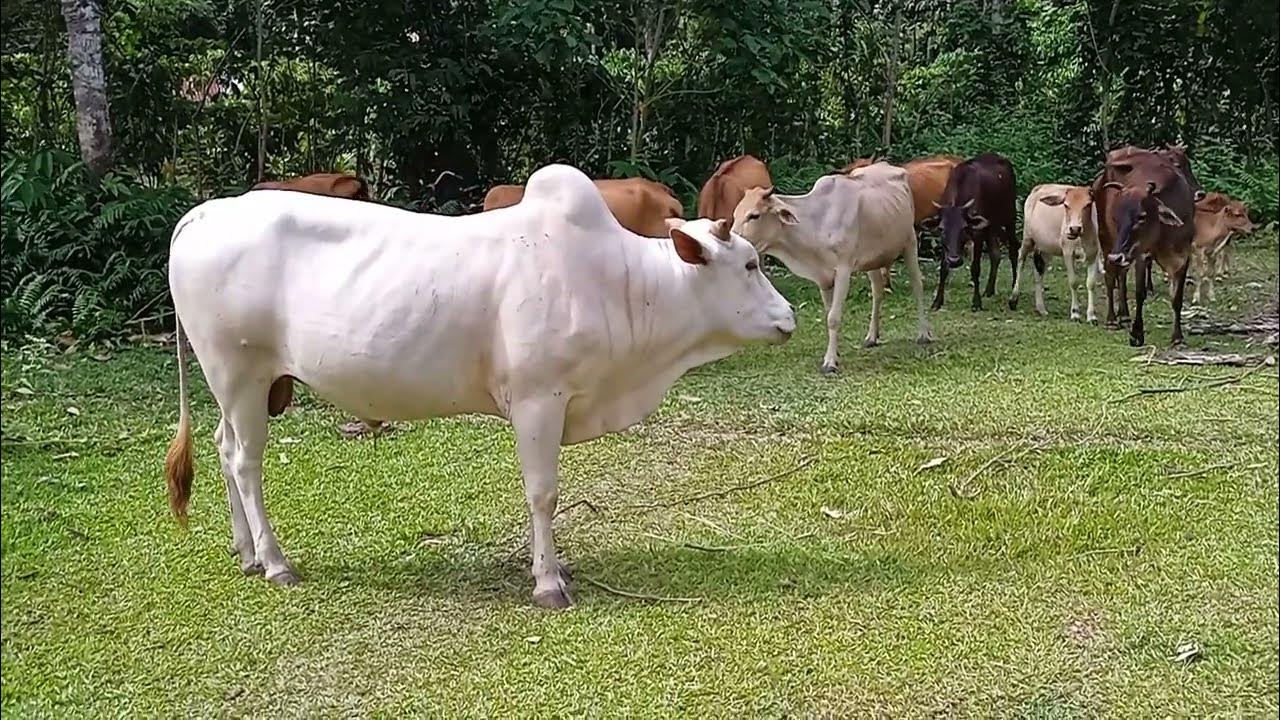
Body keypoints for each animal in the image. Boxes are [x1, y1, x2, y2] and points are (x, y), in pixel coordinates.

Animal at [730, 162, 933, 375]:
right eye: (735, 214)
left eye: (754, 215)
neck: (816, 222)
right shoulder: (823, 278)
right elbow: (829, 314)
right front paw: (835, 353)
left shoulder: (843, 270)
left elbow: (834, 318)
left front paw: (829, 363)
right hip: (873, 260)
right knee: (878, 293)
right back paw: (871, 336)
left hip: (910, 242)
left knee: (917, 286)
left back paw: (923, 333)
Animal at [930, 154, 1018, 311]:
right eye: (941, 229)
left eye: (964, 228)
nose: (955, 260)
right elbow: (943, 268)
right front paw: (937, 301)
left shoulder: (977, 235)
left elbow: (975, 268)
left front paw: (976, 302)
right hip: (991, 226)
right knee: (996, 254)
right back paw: (989, 290)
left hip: (1009, 218)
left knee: (1013, 251)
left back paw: (1014, 290)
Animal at [1009, 184, 1102, 322]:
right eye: (1066, 205)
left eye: (1088, 204)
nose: (1074, 228)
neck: (1082, 238)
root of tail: (1039, 187)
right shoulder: (1068, 252)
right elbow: (1073, 282)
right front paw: (1075, 313)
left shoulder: (1094, 254)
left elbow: (1091, 283)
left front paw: (1091, 316)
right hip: (1028, 237)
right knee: (1021, 259)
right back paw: (1013, 299)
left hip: (1045, 248)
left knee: (1039, 271)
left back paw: (1041, 308)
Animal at [1092, 144, 1206, 326]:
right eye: (1116, 217)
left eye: (1142, 217)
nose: (1200, 193)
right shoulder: (1138, 253)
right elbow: (1139, 292)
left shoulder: (1183, 254)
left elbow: (1177, 298)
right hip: (1107, 239)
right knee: (1111, 275)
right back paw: (1112, 318)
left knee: (1121, 274)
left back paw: (1124, 313)